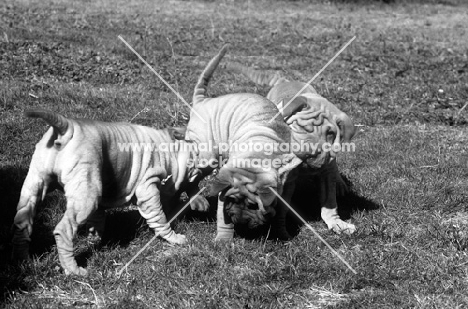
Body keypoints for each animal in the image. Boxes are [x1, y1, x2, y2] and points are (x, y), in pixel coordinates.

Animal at [11, 110, 202, 274]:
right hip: (86, 196)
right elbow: (160, 217)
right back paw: (74, 270)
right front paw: (175, 238)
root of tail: (66, 126)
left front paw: (95, 238)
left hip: (34, 184)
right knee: (62, 231)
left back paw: (24, 262)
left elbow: (98, 220)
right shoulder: (148, 187)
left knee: (22, 224)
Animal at [186, 44, 300, 239]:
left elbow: (281, 212)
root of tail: (202, 101)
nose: (240, 222)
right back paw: (197, 200)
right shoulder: (225, 184)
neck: (257, 157)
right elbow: (222, 215)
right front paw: (223, 239)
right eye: (231, 200)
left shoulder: (287, 186)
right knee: (191, 176)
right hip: (206, 155)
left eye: (253, 206)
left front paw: (281, 232)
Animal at [225, 60, 356, 238]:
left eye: (330, 134)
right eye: (300, 126)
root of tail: (286, 81)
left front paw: (337, 223)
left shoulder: (326, 172)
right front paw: (280, 230)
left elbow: (329, 202)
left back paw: (340, 184)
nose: (310, 152)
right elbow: (281, 207)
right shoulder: (287, 180)